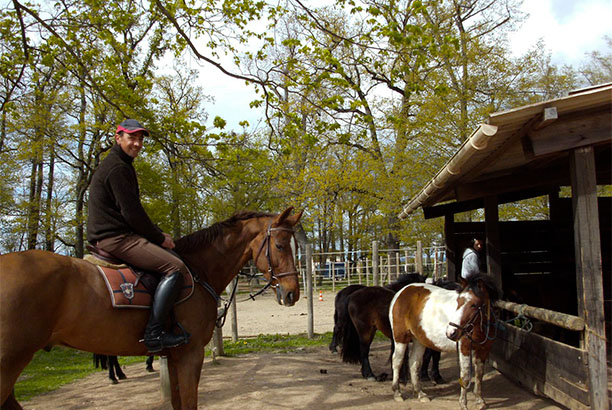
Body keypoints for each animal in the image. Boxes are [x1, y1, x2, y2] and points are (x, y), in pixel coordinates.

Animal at [0, 208, 304, 410]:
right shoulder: (191, 355)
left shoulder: (174, 357)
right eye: (280, 245)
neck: (198, 269)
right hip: (10, 363)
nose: (292, 293)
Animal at [390, 274, 500, 408]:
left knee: (414, 363)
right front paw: (463, 404)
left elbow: (479, 375)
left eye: (474, 304)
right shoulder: (464, 348)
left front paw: (480, 400)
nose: (451, 332)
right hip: (400, 338)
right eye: (458, 301)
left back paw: (420, 394)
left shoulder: (483, 350)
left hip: (419, 340)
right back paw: (397, 393)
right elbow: (465, 377)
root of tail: (402, 291)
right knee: (397, 361)